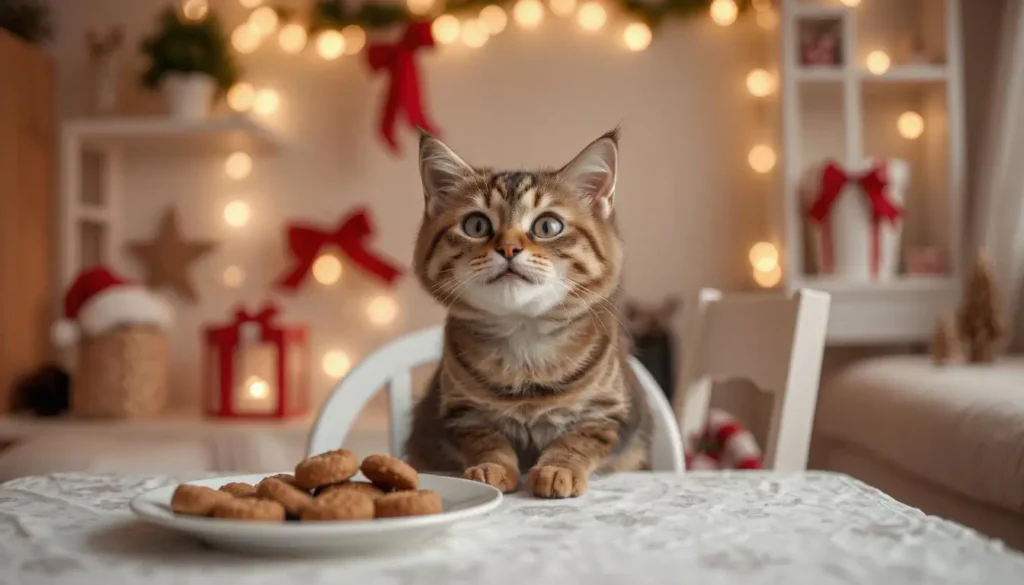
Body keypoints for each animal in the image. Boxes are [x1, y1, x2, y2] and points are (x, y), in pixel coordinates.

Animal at [403, 129, 651, 499]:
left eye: (548, 226)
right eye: (476, 225)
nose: (509, 248)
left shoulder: (609, 413)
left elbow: (576, 441)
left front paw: (558, 469)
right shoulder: (461, 414)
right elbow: (488, 442)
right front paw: (491, 468)